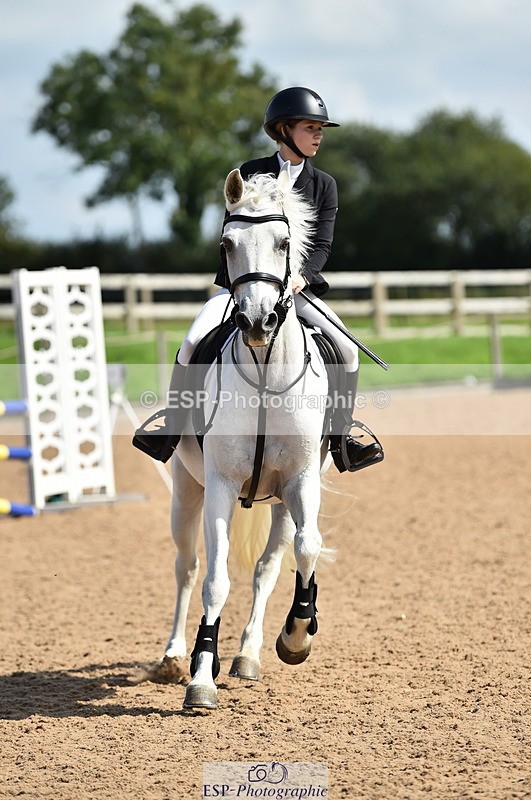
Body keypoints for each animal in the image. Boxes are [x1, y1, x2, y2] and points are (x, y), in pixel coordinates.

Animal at [150, 164, 334, 709]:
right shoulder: (221, 486)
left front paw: (297, 635)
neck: (266, 375)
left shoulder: (300, 481)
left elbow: (307, 549)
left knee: (269, 566)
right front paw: (199, 677)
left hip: (279, 502)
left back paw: (249, 654)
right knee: (186, 567)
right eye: (227, 244)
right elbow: (214, 581)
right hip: (187, 492)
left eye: (284, 241)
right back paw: (173, 656)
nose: (256, 321)